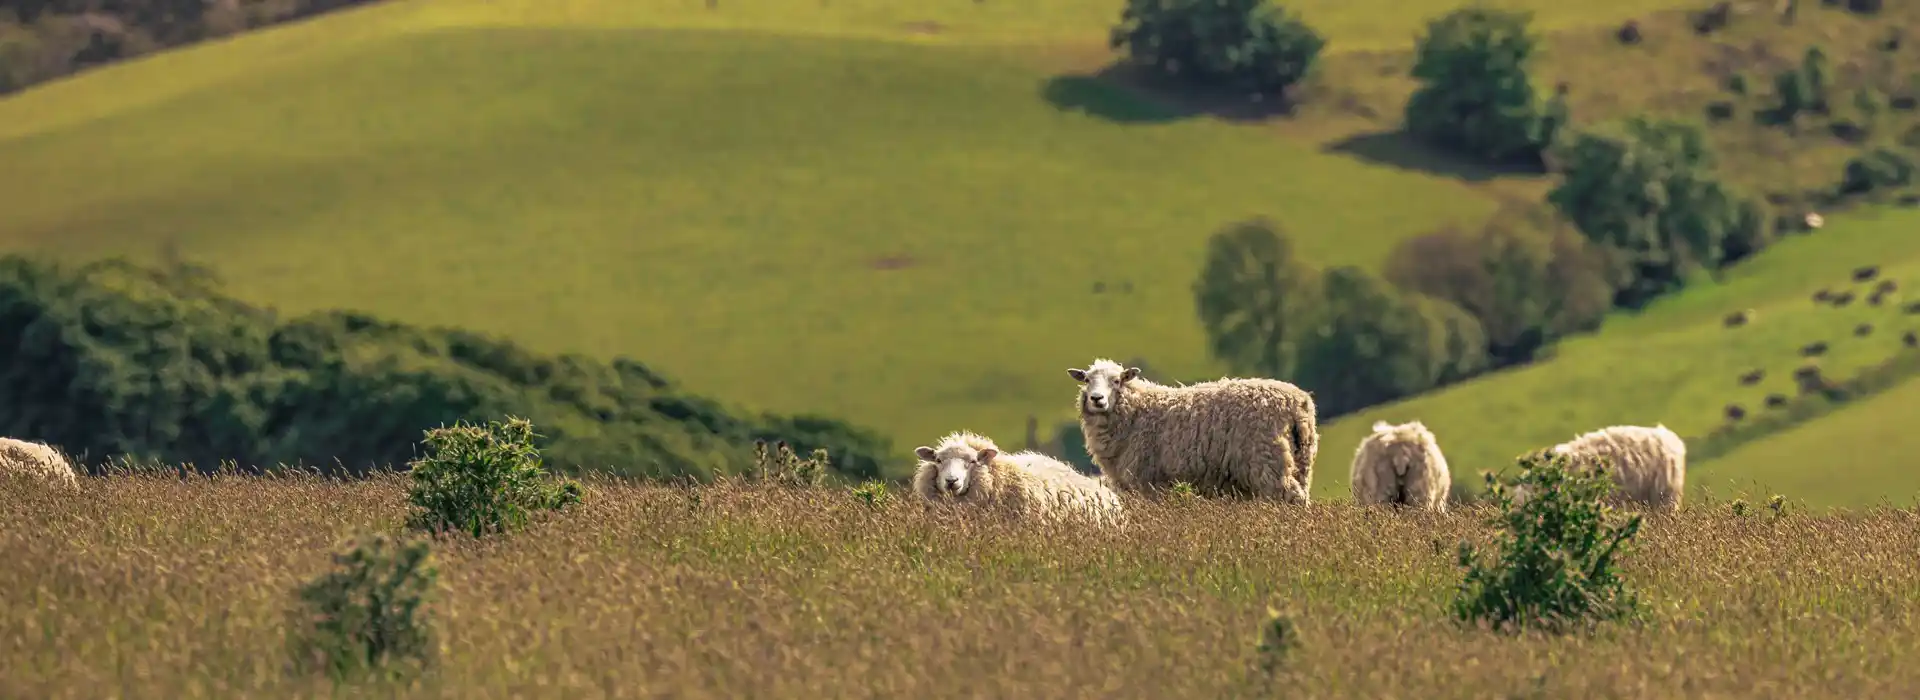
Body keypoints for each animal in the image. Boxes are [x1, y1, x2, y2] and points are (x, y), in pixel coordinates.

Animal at [1067, 360, 1320, 502]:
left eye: (1117, 380)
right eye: (1087, 380)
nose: (1097, 399)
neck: (1137, 412)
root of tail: (1298, 402)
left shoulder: (1147, 481)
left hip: (1269, 462)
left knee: (1290, 496)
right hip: (1302, 461)